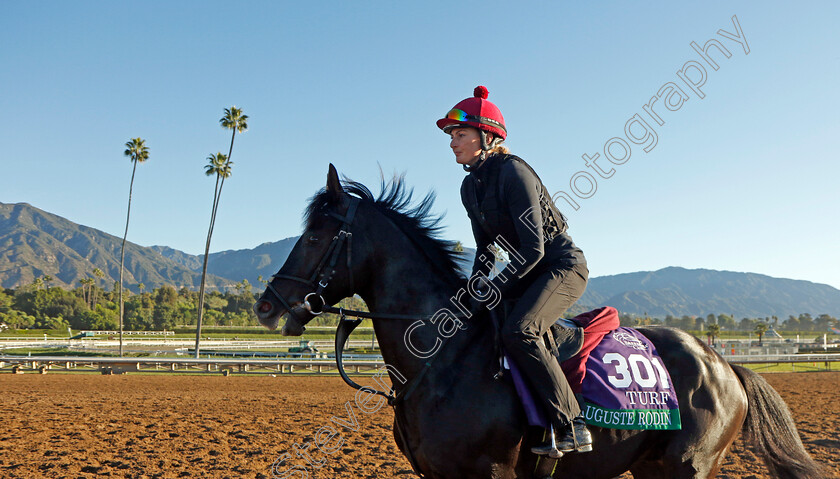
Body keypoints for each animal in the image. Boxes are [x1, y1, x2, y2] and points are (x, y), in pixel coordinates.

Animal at [254, 163, 820, 478]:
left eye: (315, 235)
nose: (266, 306)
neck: (440, 364)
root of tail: (725, 365)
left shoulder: (492, 472)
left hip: (692, 466)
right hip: (651, 467)